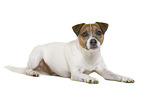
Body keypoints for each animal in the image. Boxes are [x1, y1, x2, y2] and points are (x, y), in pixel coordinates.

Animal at [5, 22, 135, 83]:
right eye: (84, 34)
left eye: (99, 32)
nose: (93, 41)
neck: (88, 55)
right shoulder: (76, 73)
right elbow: (84, 75)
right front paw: (90, 78)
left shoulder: (104, 71)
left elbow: (115, 75)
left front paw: (125, 78)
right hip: (35, 58)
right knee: (27, 70)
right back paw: (32, 72)